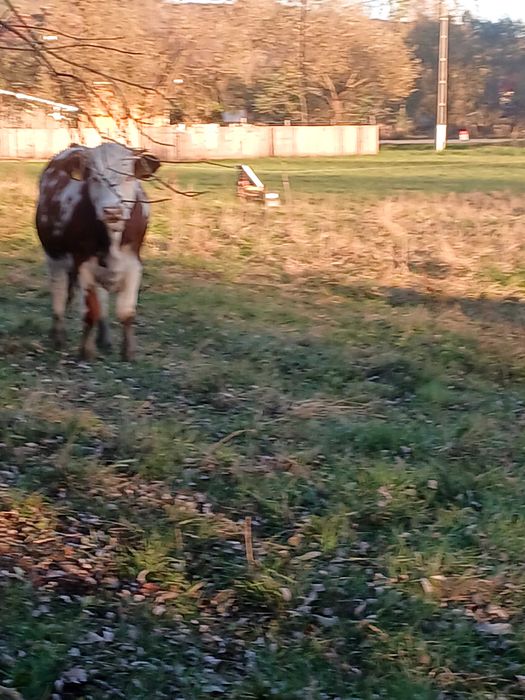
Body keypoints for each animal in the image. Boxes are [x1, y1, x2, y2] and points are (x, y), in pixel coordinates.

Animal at [35, 142, 160, 361]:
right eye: (94, 178)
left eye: (129, 177)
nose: (112, 211)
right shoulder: (82, 263)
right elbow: (89, 312)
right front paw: (86, 350)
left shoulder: (134, 263)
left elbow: (127, 312)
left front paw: (128, 352)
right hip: (54, 256)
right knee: (59, 292)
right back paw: (58, 336)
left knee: (101, 298)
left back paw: (104, 339)